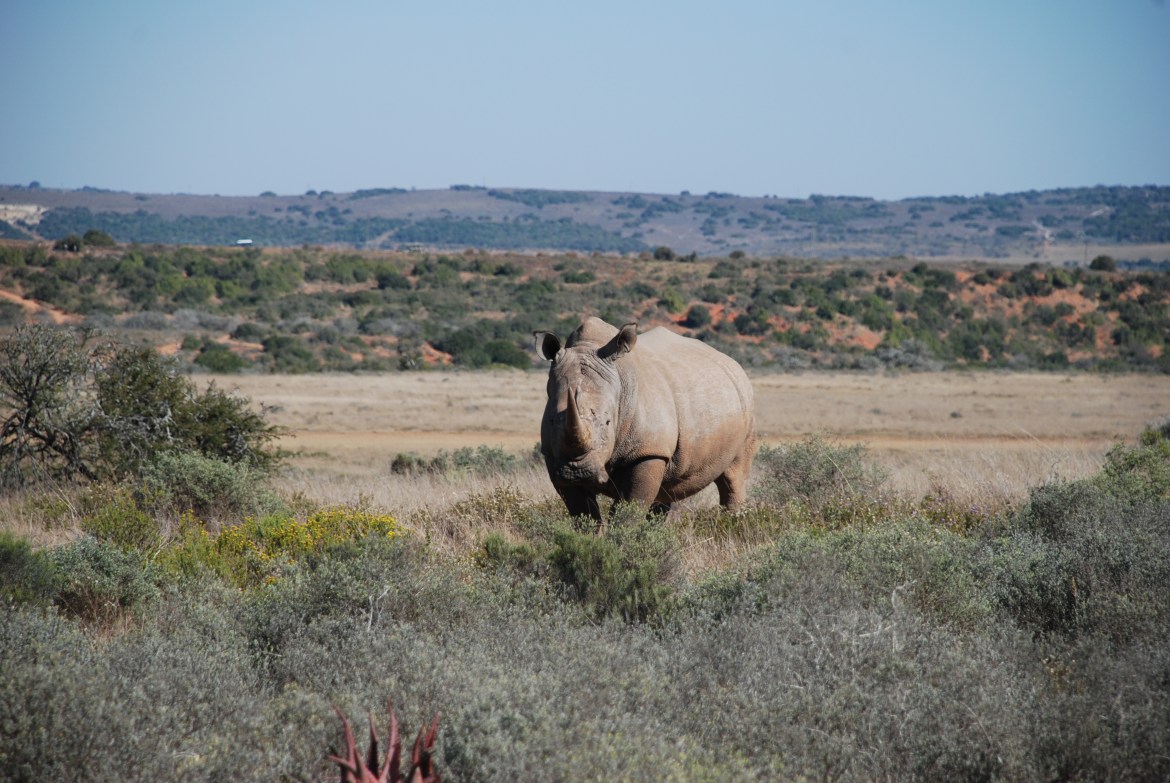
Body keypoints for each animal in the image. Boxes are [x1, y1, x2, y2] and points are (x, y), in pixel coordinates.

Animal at [533, 316, 753, 524]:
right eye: (551, 421)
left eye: (608, 422)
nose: (578, 472)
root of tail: (733, 363)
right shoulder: (553, 457)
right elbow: (583, 514)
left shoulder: (648, 451)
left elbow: (628, 511)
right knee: (666, 491)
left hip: (744, 397)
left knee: (734, 474)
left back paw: (733, 523)